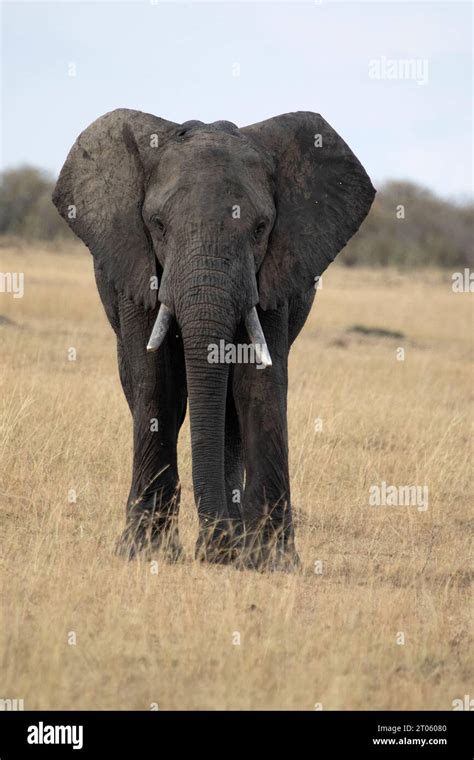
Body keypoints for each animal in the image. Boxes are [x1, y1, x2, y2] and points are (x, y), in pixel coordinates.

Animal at [52, 108, 374, 568]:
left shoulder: (273, 273)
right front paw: (145, 552)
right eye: (158, 225)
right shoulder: (137, 266)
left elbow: (257, 383)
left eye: (261, 228)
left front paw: (271, 562)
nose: (217, 546)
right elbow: (157, 385)